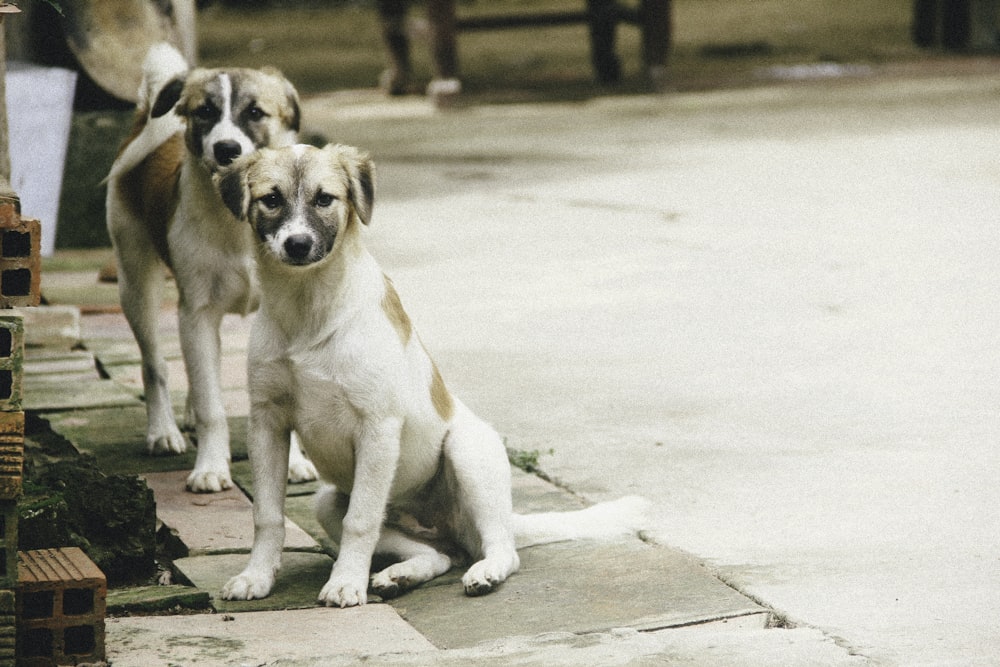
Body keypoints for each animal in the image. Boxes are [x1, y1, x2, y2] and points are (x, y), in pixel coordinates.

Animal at [105, 41, 316, 490]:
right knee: (155, 365)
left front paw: (293, 464)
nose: (226, 149)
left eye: (255, 112)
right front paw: (211, 469)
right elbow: (211, 406)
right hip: (136, 284)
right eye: (205, 111)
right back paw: (163, 431)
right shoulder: (197, 311)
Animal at [214, 144, 644, 608]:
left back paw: (485, 572)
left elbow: (360, 522)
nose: (298, 244)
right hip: (329, 502)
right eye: (271, 199)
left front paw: (344, 583)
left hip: (467, 451)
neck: (306, 309)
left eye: (324, 198)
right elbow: (267, 515)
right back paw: (400, 575)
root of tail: (448, 526)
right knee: (439, 555)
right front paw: (256, 577)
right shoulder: (267, 422)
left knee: (501, 549)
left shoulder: (378, 427)